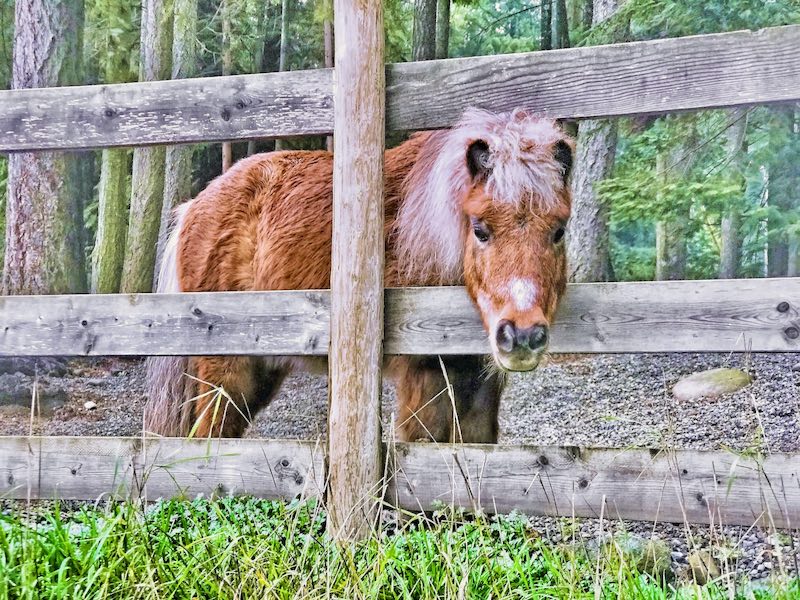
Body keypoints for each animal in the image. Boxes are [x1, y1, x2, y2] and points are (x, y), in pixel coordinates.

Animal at [147, 110, 572, 442]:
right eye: (481, 230)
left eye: (558, 231)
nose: (521, 335)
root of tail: (194, 205)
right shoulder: (426, 378)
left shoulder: (480, 387)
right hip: (225, 369)